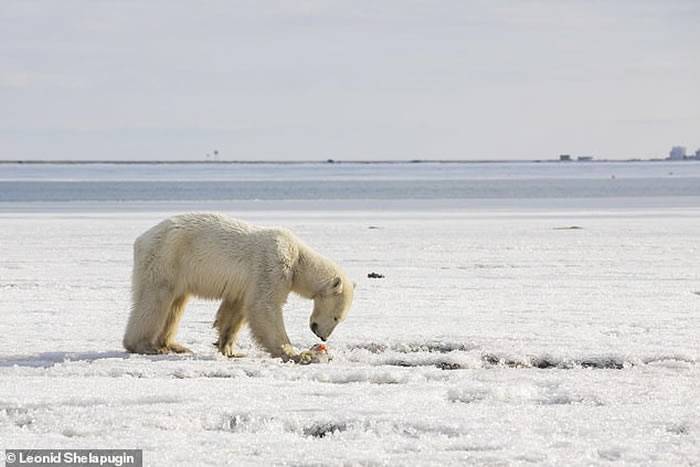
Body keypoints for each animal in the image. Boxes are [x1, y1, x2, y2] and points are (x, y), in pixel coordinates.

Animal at [121, 214, 356, 364]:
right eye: (337, 317)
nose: (323, 338)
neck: (298, 256)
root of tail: (141, 239)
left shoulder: (245, 284)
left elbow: (235, 309)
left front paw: (228, 348)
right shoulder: (272, 265)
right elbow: (264, 307)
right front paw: (297, 354)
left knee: (176, 305)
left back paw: (173, 345)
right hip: (166, 259)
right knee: (155, 300)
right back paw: (144, 345)